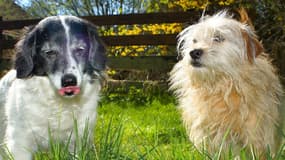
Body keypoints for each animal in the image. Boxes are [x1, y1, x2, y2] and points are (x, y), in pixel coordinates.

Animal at [169, 9, 282, 158]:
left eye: (218, 38)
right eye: (194, 41)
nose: (194, 52)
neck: (220, 88)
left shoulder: (257, 131)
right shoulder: (207, 133)